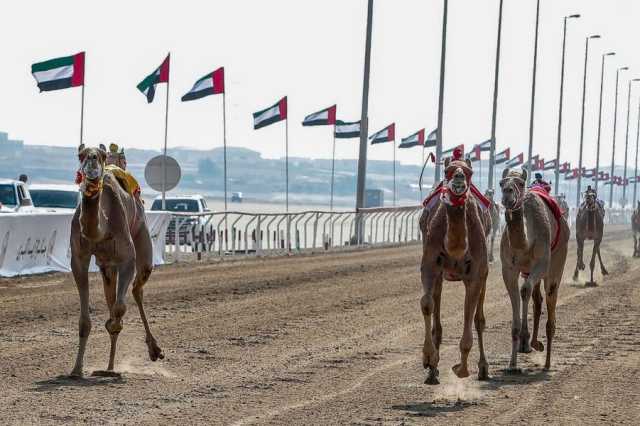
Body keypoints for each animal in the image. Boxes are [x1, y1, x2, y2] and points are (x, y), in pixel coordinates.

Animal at [69, 146, 164, 376]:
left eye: (100, 156)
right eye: (81, 154)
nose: (92, 160)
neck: (100, 229)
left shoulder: (127, 257)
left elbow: (119, 309)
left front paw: (113, 323)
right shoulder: (78, 258)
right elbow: (85, 321)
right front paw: (76, 369)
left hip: (141, 235)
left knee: (137, 289)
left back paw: (153, 350)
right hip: (107, 267)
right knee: (114, 296)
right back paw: (109, 367)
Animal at [420, 148, 490, 384]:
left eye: (469, 172)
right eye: (447, 170)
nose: (459, 179)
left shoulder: (476, 273)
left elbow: (469, 315)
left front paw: (461, 369)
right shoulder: (430, 265)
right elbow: (427, 304)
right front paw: (429, 359)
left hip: (485, 274)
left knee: (479, 319)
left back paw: (483, 368)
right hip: (441, 276)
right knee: (436, 311)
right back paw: (432, 372)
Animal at [500, 168, 568, 372]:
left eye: (521, 183)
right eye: (501, 182)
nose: (507, 194)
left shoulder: (542, 263)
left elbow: (525, 290)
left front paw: (525, 342)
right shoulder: (509, 269)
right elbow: (520, 295)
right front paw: (512, 364)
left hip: (556, 262)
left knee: (550, 298)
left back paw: (546, 363)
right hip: (528, 271)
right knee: (537, 299)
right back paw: (533, 343)